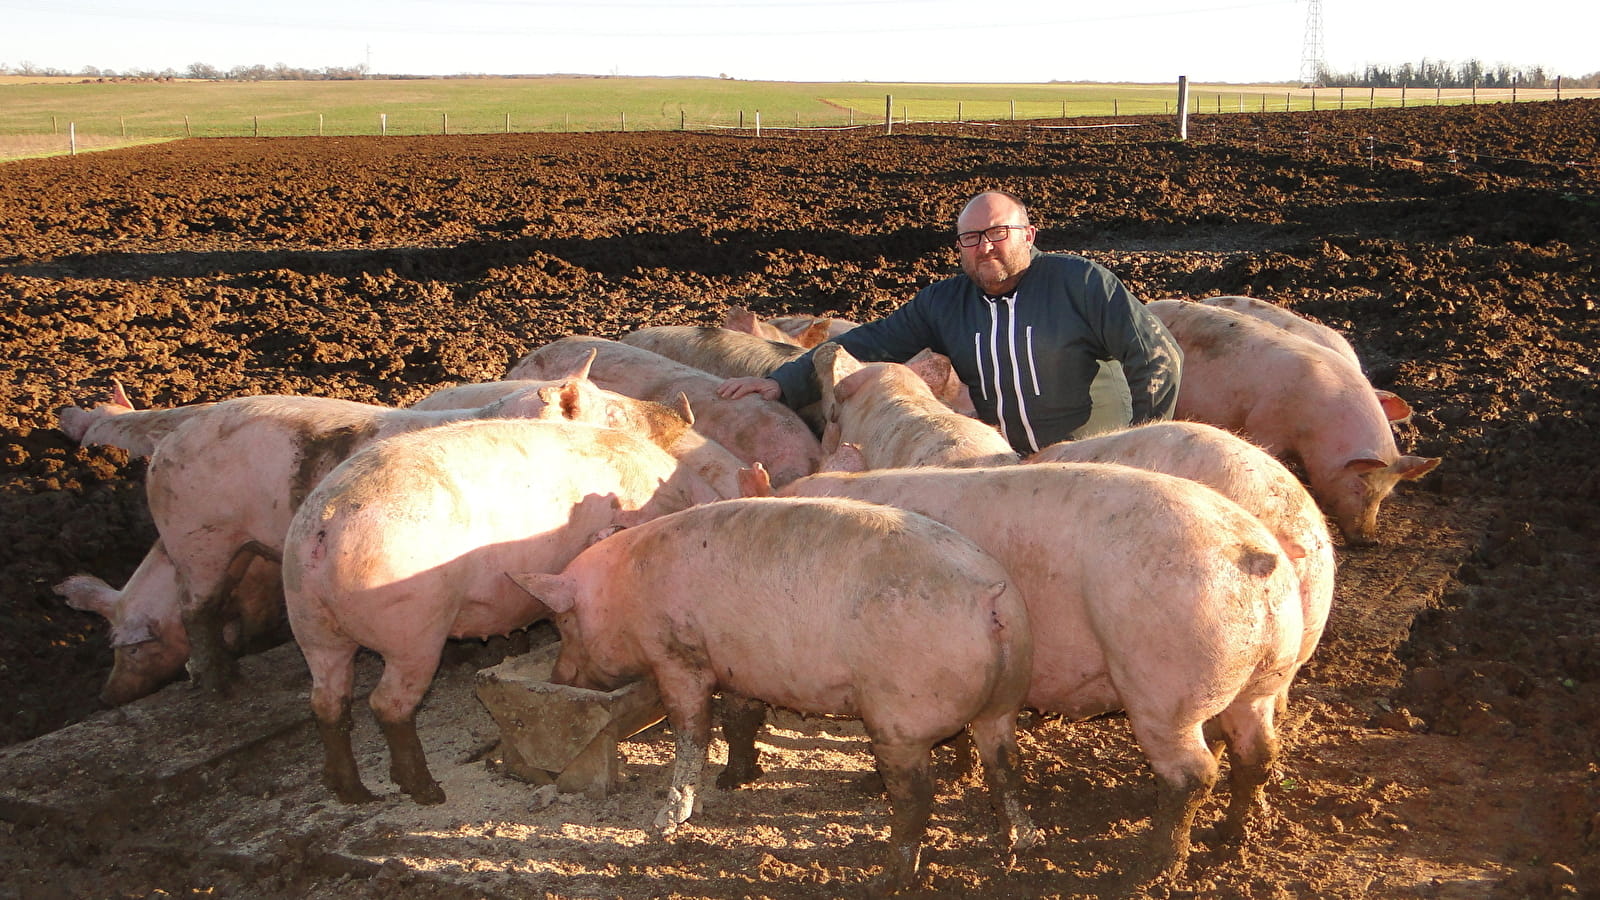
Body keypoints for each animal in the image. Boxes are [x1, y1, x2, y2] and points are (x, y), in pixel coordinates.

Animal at [283, 419, 726, 806]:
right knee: (387, 704)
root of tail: (326, 524)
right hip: (412, 629)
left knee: (328, 701)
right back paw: (427, 792)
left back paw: (352, 793)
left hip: (310, 622)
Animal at [510, 496, 1038, 891]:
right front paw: (735, 780)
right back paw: (1021, 844)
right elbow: (740, 720)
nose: (559, 677)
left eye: (562, 623)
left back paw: (887, 880)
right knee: (1006, 766)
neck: (625, 591)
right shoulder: (741, 667)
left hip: (901, 716)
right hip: (1003, 702)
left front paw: (667, 819)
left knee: (917, 795)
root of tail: (989, 596)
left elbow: (692, 733)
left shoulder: (679, 659)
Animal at [742, 461, 1305, 880]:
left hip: (1165, 687)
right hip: (1261, 680)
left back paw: (1148, 871)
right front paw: (958, 770)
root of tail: (1254, 555)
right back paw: (1230, 841)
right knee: (1258, 751)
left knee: (1192, 774)